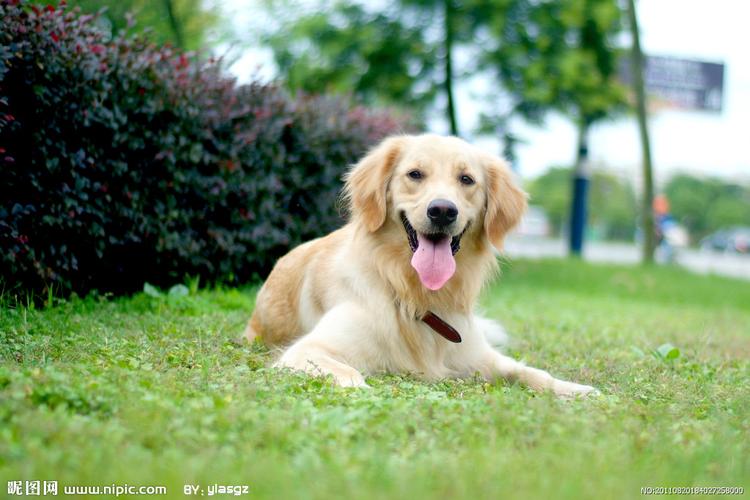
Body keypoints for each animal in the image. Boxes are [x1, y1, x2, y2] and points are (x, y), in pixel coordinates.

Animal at [247, 134, 600, 398]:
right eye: (415, 174)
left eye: (466, 179)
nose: (442, 210)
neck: (415, 292)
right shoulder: (307, 350)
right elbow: (348, 374)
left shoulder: (477, 354)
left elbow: (525, 369)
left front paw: (575, 389)